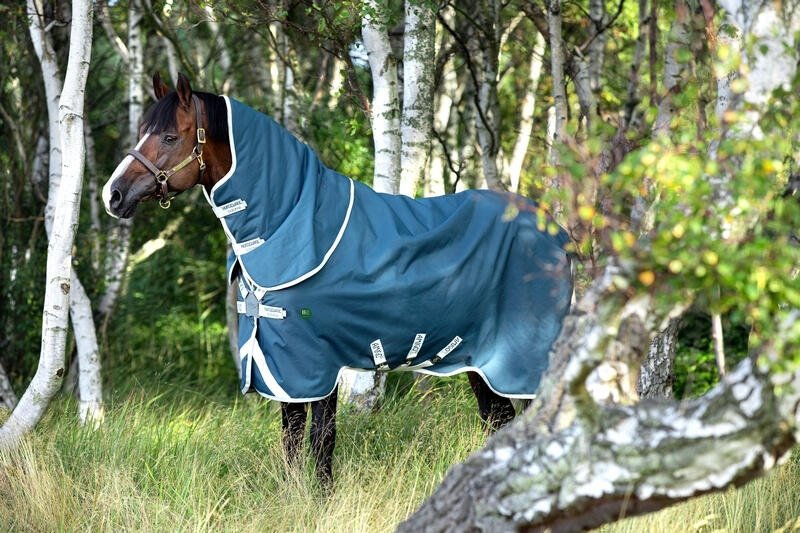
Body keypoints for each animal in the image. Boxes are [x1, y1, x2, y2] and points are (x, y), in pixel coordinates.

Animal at [103, 73, 573, 487]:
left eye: (169, 137)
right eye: (142, 130)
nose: (114, 195)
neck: (288, 222)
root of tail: (557, 234)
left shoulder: (315, 362)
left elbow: (319, 439)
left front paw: (321, 498)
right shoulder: (284, 366)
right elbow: (292, 439)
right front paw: (295, 497)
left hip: (521, 363)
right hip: (482, 363)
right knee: (500, 422)